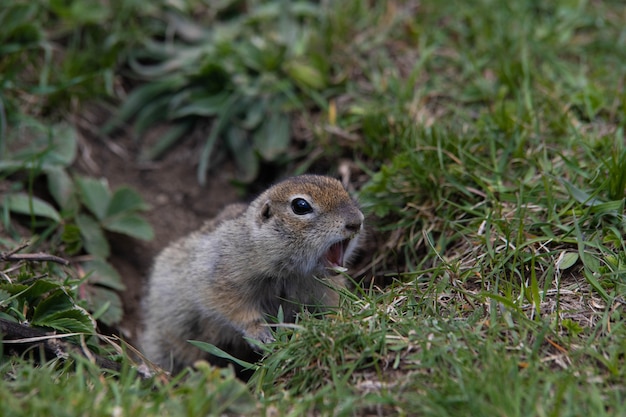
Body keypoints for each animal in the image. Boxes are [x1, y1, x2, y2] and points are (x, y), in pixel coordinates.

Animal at [140, 174, 366, 372]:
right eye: (300, 206)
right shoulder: (223, 276)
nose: (356, 221)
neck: (291, 273)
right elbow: (233, 307)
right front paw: (262, 335)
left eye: (341, 186)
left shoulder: (327, 288)